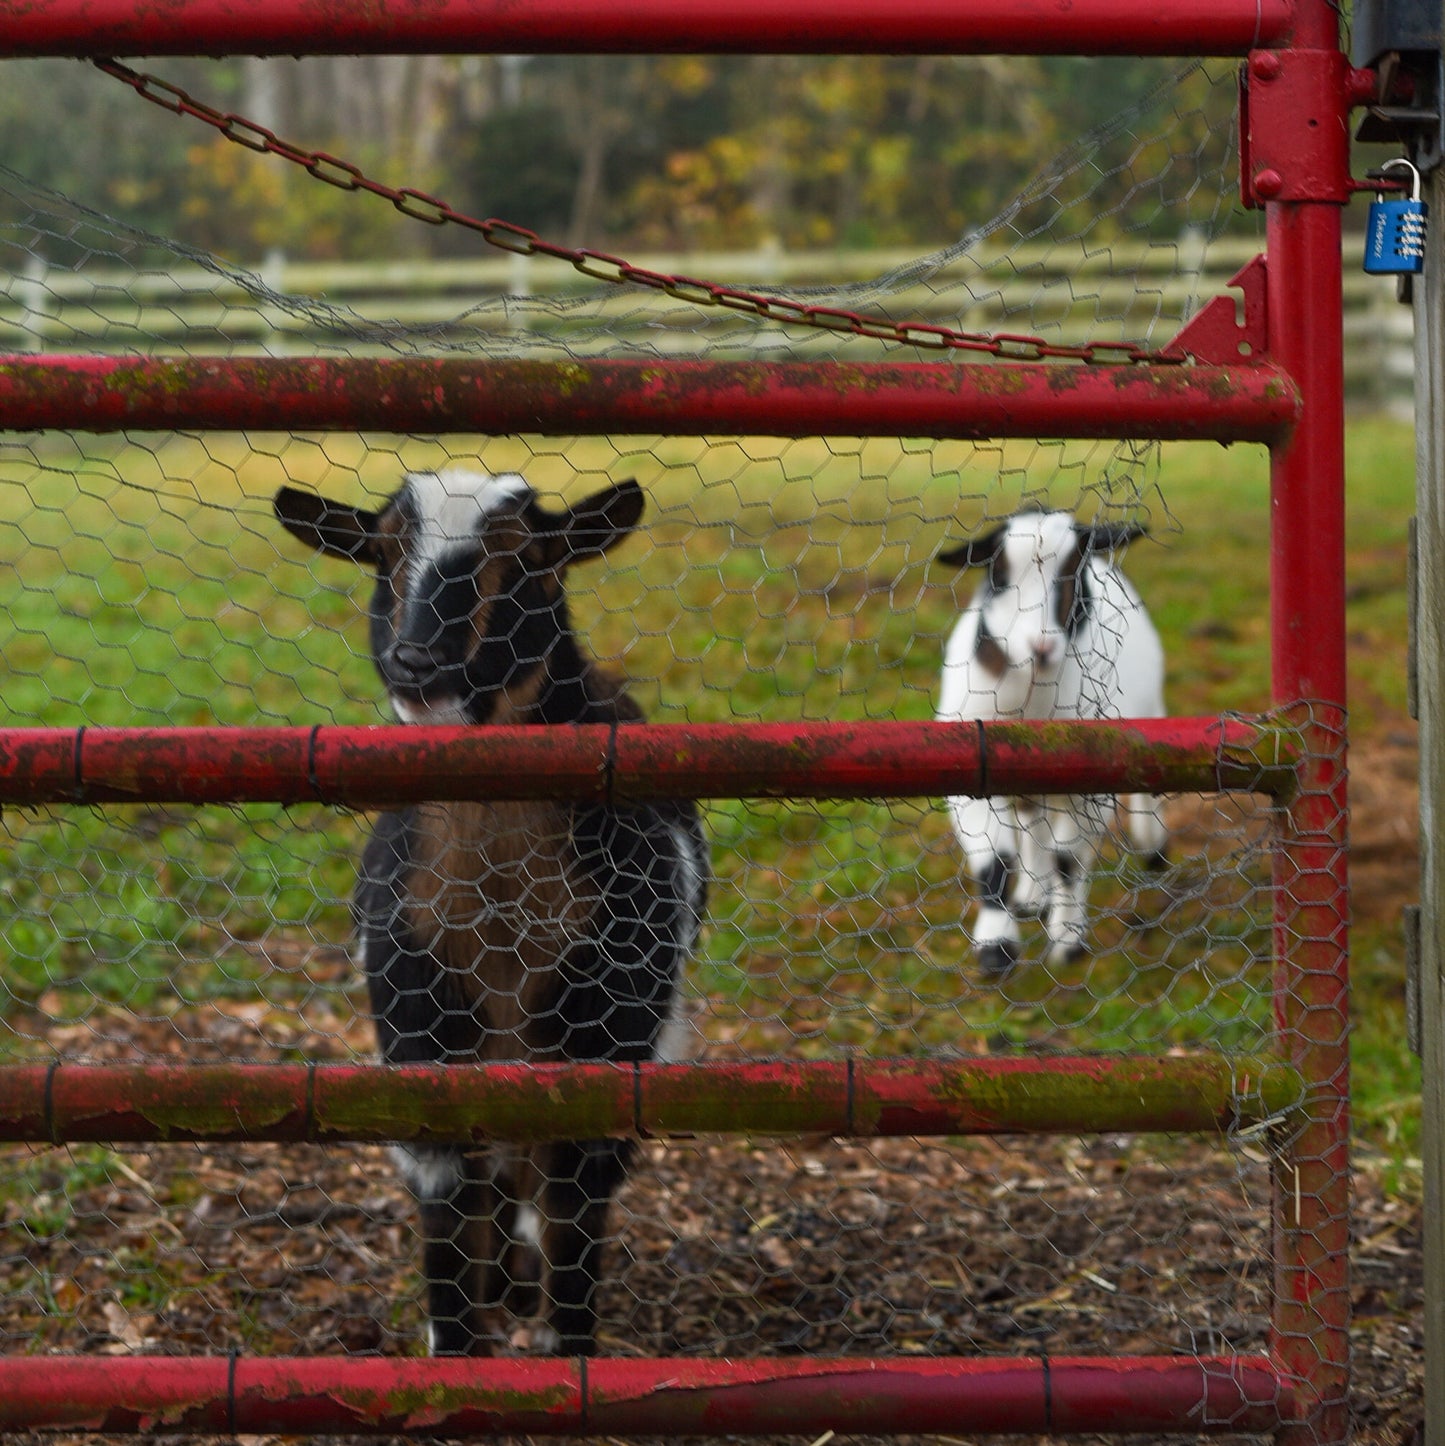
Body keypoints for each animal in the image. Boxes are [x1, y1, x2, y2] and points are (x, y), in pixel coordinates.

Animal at [274, 467, 709, 1357]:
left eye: (528, 562)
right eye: (383, 553)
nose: (416, 662)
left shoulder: (606, 1056)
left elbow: (575, 1232)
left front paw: (566, 1348)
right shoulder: (418, 1049)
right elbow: (449, 1232)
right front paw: (461, 1348)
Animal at [933, 506, 1167, 978]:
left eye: (1074, 573)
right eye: (998, 576)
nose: (1040, 646)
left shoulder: (1091, 787)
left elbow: (1070, 862)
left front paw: (1068, 942)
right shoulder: (972, 775)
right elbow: (995, 863)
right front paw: (996, 950)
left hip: (1148, 706)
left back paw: (1153, 847)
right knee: (1033, 823)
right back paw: (1031, 896)